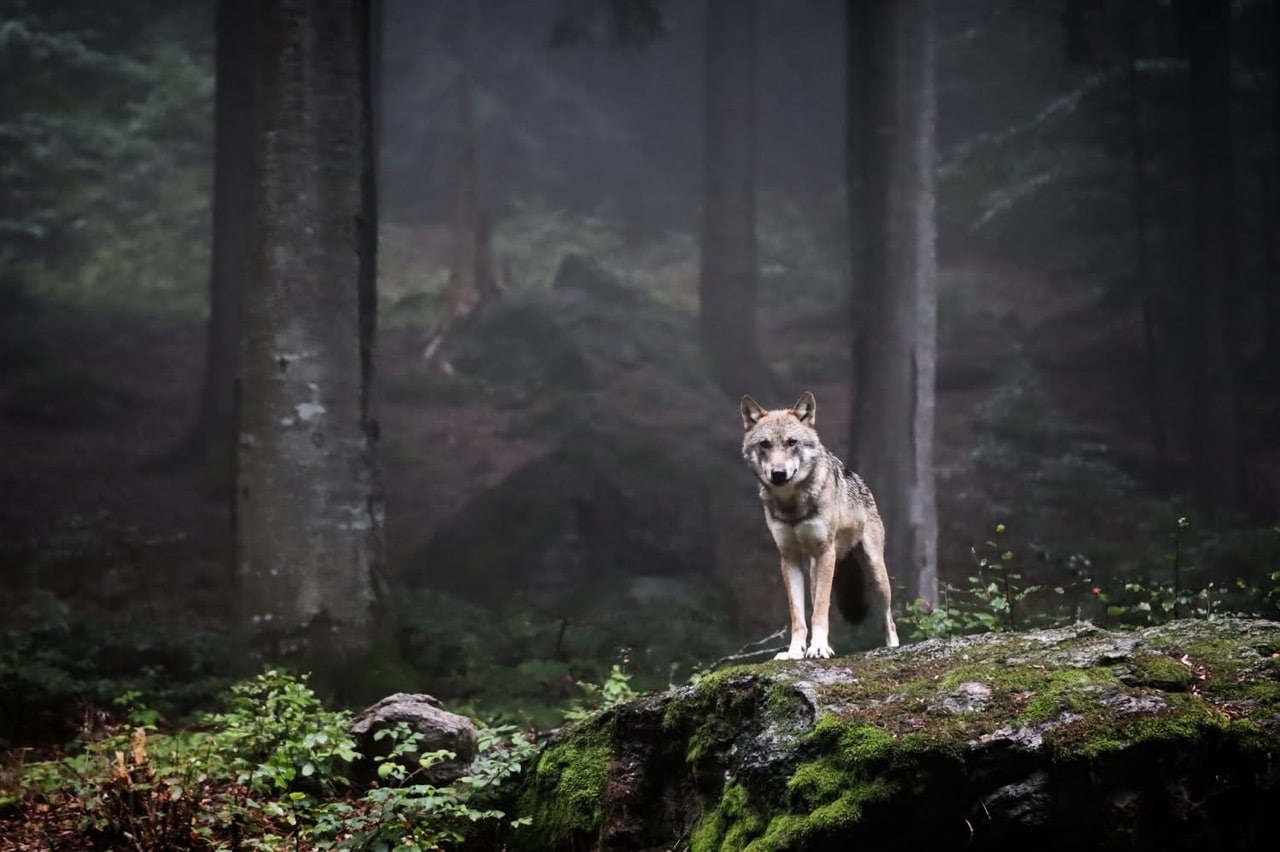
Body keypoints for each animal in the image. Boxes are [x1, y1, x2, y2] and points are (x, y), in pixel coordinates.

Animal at [740, 391, 899, 659]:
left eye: (792, 442)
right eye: (765, 444)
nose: (779, 473)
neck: (792, 505)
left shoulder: (825, 552)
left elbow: (821, 610)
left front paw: (819, 648)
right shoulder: (789, 558)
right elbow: (798, 615)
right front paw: (794, 652)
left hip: (874, 572)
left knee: (888, 617)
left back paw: (893, 647)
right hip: (816, 567)